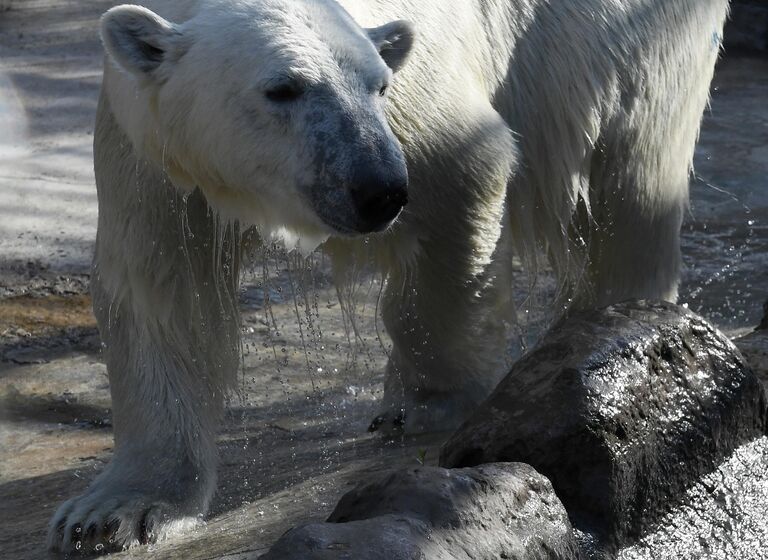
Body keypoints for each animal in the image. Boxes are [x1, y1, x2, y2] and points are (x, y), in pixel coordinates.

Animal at [46, 0, 728, 552]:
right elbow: (160, 289)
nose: (377, 191)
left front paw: (425, 405)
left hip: (632, 35)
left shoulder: (418, 96)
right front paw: (115, 513)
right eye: (283, 88)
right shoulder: (151, 147)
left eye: (377, 84)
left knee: (631, 182)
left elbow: (461, 173)